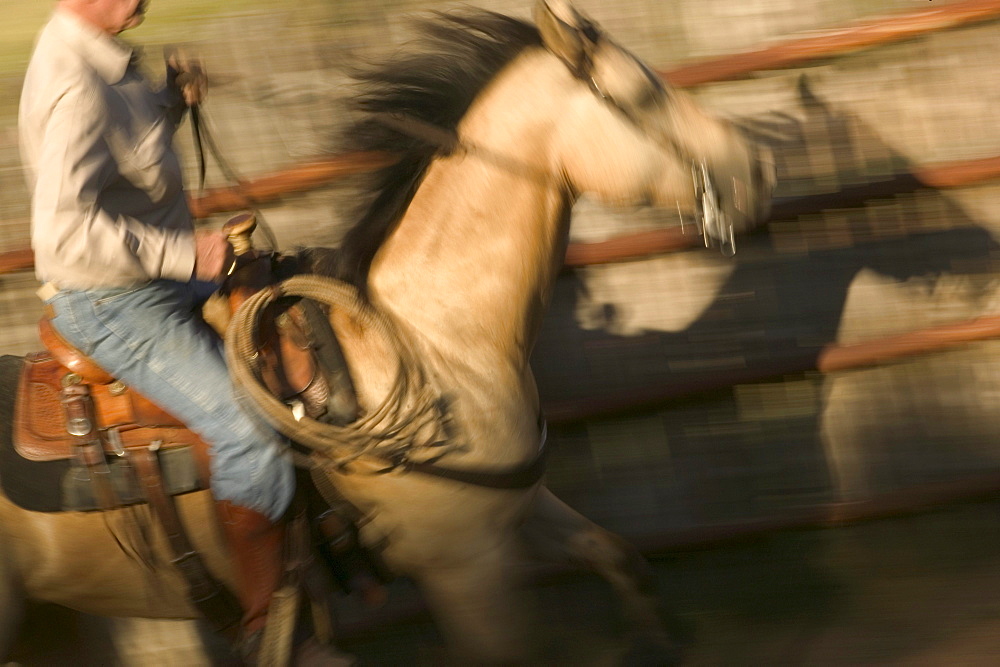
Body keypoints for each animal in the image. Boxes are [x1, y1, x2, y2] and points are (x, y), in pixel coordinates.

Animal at [0, 1, 772, 664]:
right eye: (642, 96)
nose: (756, 166)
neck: (433, 341)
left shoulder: (516, 518)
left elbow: (620, 558)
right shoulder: (467, 571)